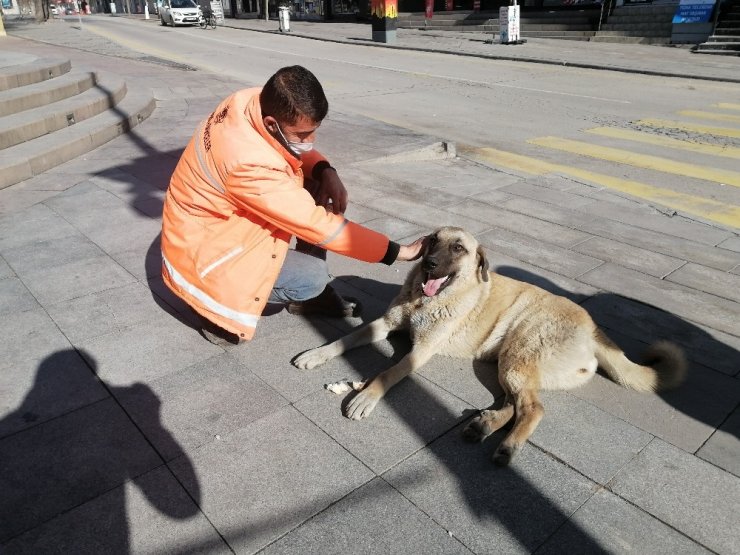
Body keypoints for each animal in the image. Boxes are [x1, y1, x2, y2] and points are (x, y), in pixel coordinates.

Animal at [290, 228, 688, 466]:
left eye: (458, 248)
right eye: (432, 242)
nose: (429, 263)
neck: (424, 300)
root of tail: (594, 331)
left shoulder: (421, 351)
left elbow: (389, 372)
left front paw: (365, 397)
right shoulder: (384, 325)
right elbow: (344, 339)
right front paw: (316, 354)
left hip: (517, 355)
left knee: (533, 408)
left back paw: (508, 445)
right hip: (509, 365)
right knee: (515, 404)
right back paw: (485, 425)